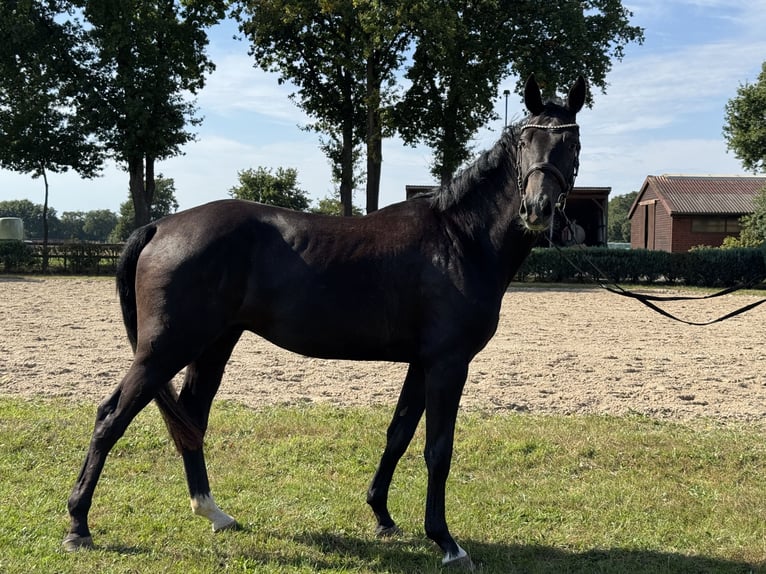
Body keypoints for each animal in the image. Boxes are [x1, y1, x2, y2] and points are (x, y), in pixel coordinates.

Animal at [63, 74, 586, 569]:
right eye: (526, 141)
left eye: (572, 144)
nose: (537, 209)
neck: (459, 238)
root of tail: (160, 226)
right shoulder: (447, 364)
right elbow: (438, 449)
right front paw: (446, 541)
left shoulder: (422, 364)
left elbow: (398, 434)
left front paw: (383, 516)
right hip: (165, 349)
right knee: (111, 417)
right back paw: (78, 525)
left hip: (212, 345)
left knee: (191, 417)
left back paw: (213, 512)